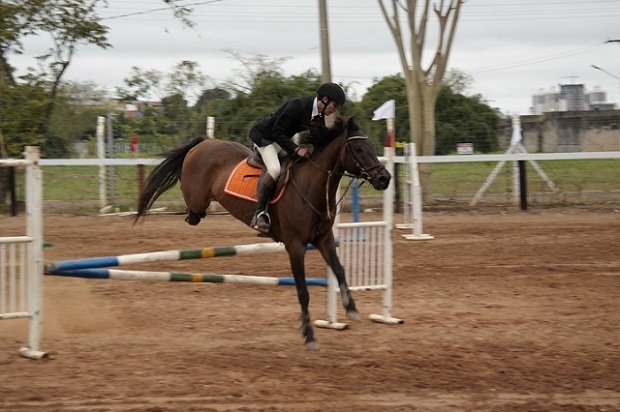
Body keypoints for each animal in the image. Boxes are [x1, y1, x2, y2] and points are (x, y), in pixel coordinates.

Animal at [135, 116, 390, 350]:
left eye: (372, 147)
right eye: (359, 149)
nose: (384, 178)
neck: (312, 185)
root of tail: (204, 143)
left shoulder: (324, 240)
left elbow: (339, 271)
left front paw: (351, 308)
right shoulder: (295, 246)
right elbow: (303, 292)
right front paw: (309, 335)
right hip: (197, 197)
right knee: (193, 207)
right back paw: (191, 213)